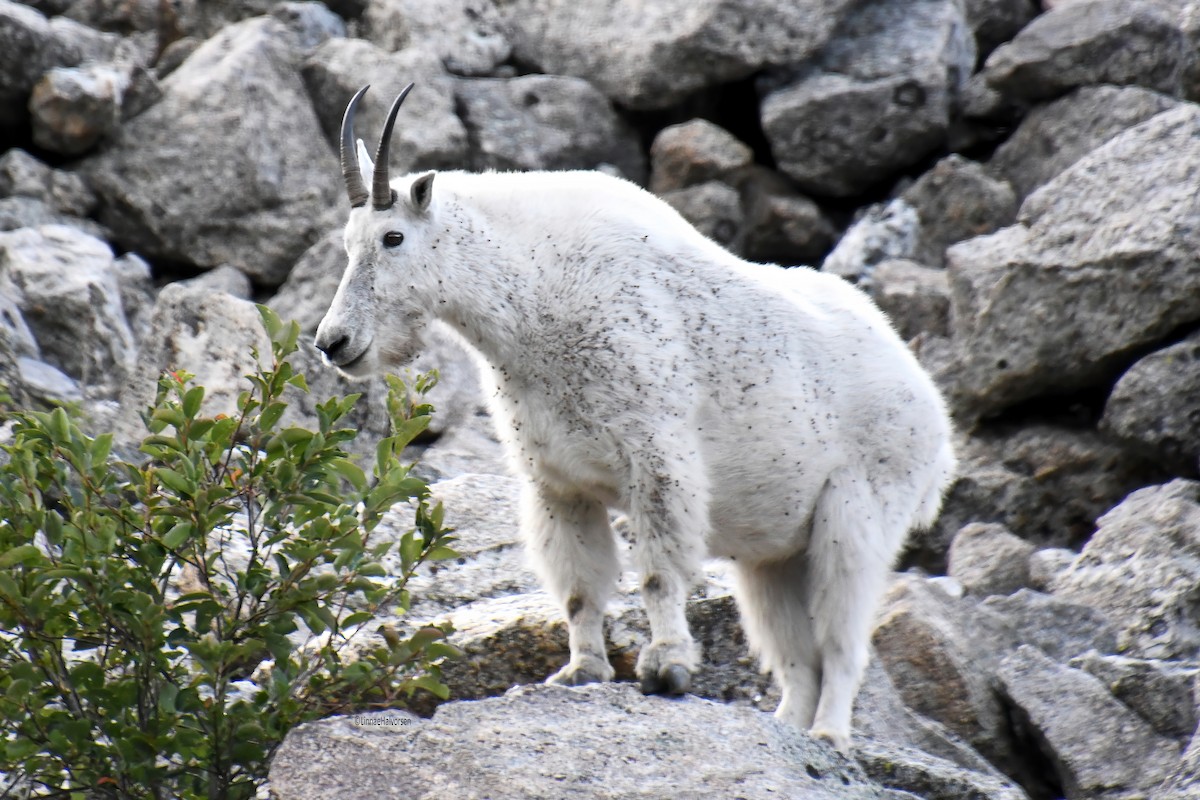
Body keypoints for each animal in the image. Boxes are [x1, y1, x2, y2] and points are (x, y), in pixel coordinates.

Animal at [314, 84, 956, 750]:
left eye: (392, 238)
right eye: (347, 243)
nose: (333, 343)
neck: (534, 296)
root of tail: (935, 418)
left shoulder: (655, 454)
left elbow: (657, 572)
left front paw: (666, 668)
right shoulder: (556, 482)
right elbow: (579, 587)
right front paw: (579, 672)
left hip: (860, 510)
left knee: (842, 638)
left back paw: (829, 735)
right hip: (775, 554)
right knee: (794, 654)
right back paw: (788, 729)